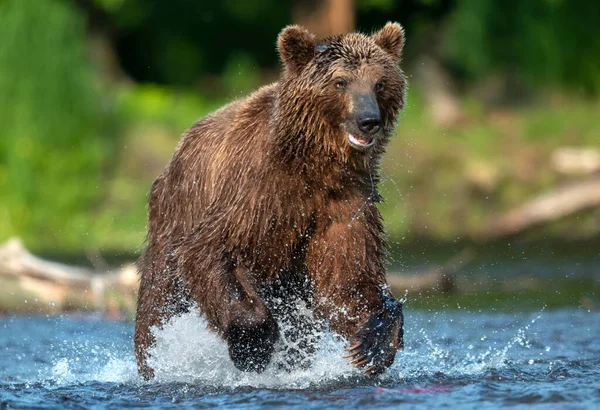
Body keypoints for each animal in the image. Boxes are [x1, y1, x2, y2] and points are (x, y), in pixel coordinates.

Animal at [135, 22, 408, 380]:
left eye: (380, 82)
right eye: (340, 82)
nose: (368, 120)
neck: (314, 164)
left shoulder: (344, 202)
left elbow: (346, 277)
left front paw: (372, 342)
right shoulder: (254, 192)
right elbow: (209, 250)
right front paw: (253, 346)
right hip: (176, 212)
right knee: (159, 298)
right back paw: (151, 361)